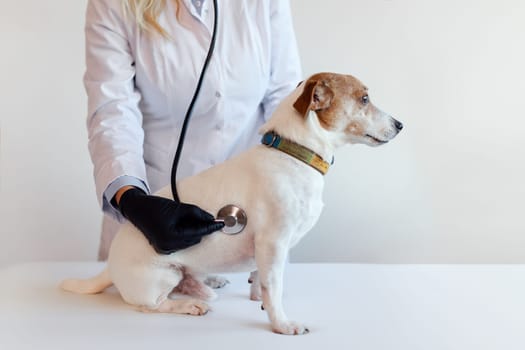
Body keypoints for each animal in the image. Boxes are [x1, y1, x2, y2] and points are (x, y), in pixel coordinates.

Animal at [62, 72, 406, 334]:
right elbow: (273, 286)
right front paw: (282, 324)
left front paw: (258, 297)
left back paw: (204, 284)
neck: (294, 153)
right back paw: (190, 303)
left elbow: (260, 279)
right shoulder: (273, 243)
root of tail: (109, 266)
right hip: (160, 277)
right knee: (150, 306)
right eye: (364, 99)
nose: (400, 124)